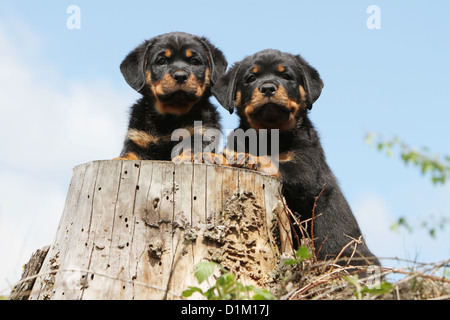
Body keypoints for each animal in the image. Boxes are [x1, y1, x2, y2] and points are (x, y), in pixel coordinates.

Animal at [116, 31, 227, 162]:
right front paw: (117, 159)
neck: (170, 115)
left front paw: (185, 157)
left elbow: (192, 148)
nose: (180, 76)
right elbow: (128, 154)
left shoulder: (201, 132)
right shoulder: (137, 138)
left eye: (194, 61)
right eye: (162, 61)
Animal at [214, 48, 380, 266]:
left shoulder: (306, 168)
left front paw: (247, 158)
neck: (270, 135)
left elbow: (274, 162)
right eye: (251, 78)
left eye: (286, 76)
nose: (268, 88)